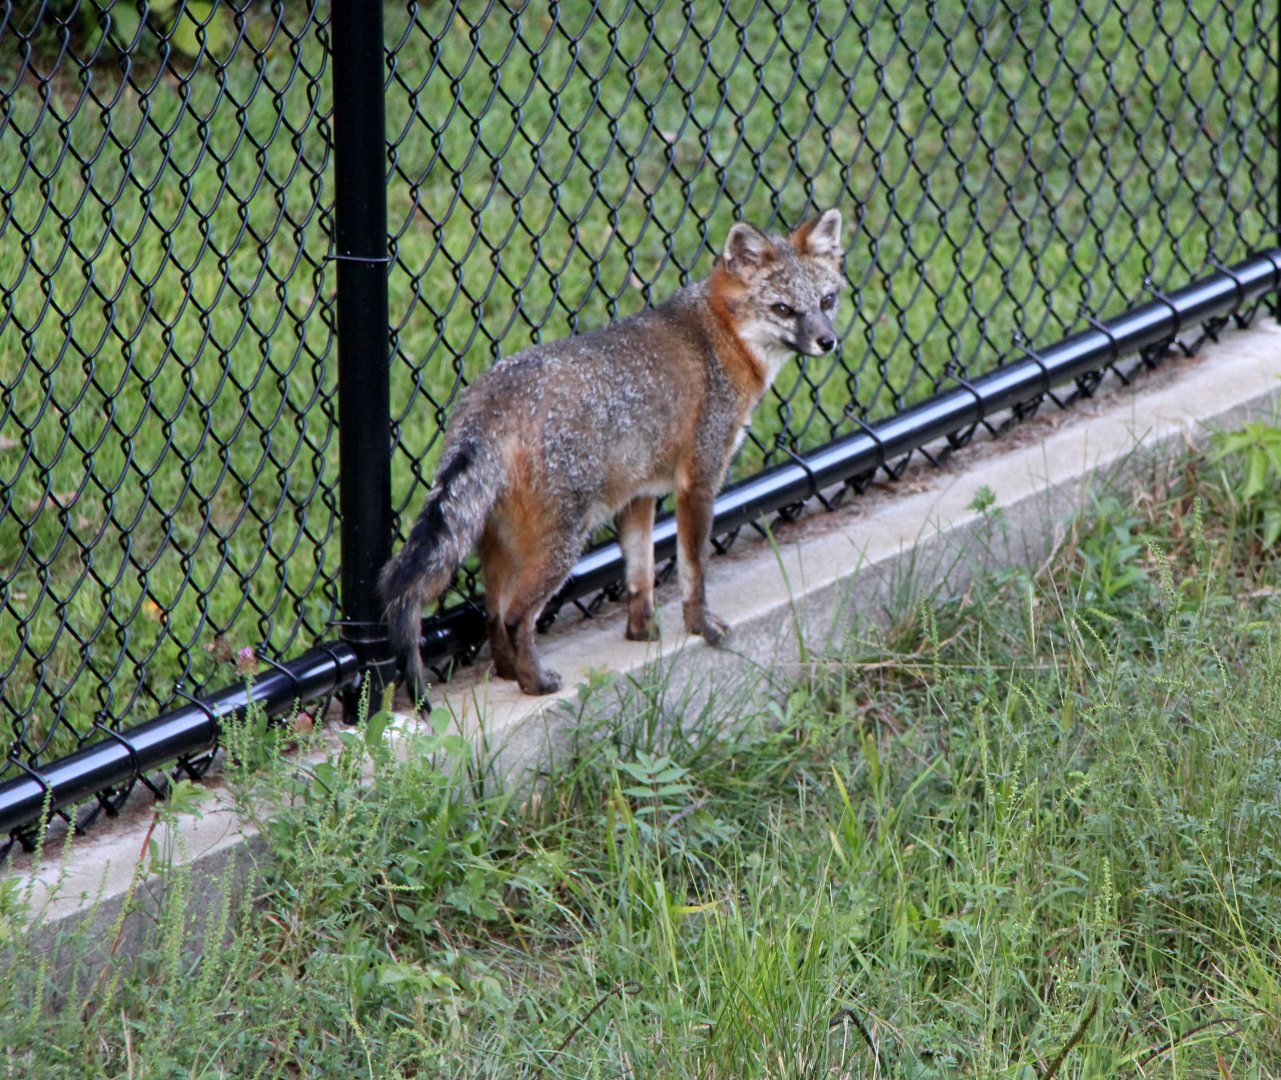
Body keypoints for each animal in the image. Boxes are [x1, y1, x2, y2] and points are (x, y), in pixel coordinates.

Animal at [380, 208, 845, 698]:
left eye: (827, 301)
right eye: (783, 309)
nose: (828, 342)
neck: (717, 337)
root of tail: (493, 398)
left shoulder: (640, 495)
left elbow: (640, 575)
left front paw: (641, 632)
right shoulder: (699, 481)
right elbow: (693, 570)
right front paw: (702, 627)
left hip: (502, 544)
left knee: (492, 614)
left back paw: (509, 674)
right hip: (563, 544)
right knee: (516, 615)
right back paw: (536, 683)